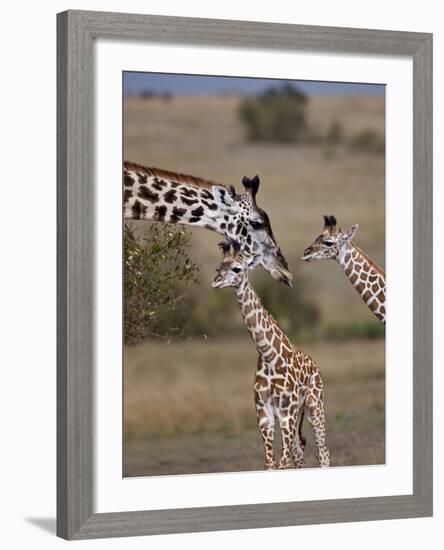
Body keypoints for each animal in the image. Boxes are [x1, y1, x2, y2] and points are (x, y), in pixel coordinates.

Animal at [212, 244, 330, 472]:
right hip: (298, 415)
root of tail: (315, 365)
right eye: (218, 267)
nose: (216, 282)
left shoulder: (286, 413)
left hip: (313, 406)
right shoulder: (264, 414)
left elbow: (282, 463)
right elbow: (270, 463)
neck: (269, 356)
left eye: (237, 269)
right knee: (299, 451)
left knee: (323, 452)